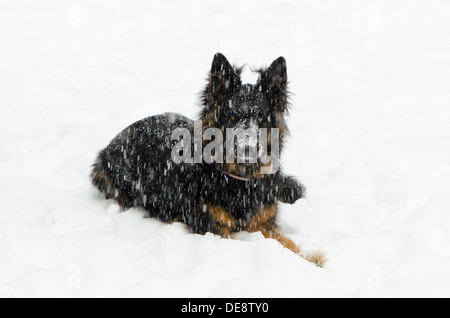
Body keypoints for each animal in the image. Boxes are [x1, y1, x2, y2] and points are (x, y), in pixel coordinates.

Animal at [90, 53, 326, 268]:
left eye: (260, 117)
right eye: (232, 116)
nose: (247, 147)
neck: (239, 181)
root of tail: (112, 143)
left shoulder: (265, 224)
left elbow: (288, 242)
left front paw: (310, 256)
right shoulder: (215, 230)